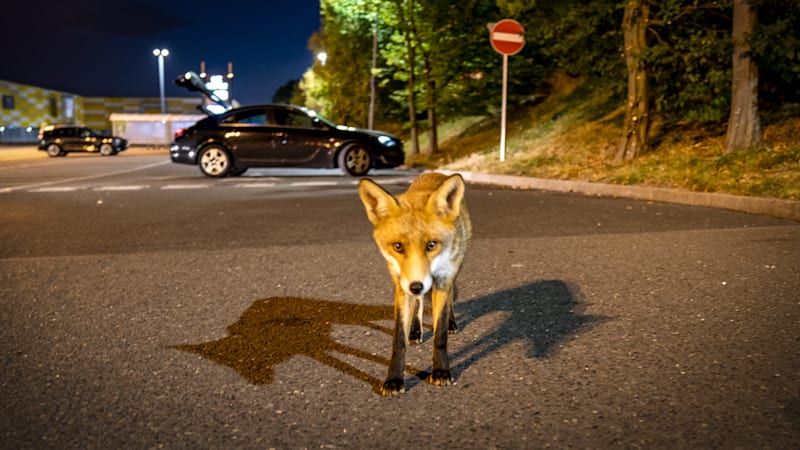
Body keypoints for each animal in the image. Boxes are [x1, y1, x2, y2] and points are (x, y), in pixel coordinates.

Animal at [360, 171, 472, 396]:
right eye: (397, 246)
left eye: (431, 244)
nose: (416, 285)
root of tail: (434, 173)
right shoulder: (401, 285)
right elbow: (398, 340)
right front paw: (394, 379)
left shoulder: (442, 279)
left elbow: (439, 336)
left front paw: (440, 371)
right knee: (419, 304)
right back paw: (415, 330)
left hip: (452, 272)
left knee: (448, 300)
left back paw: (451, 323)